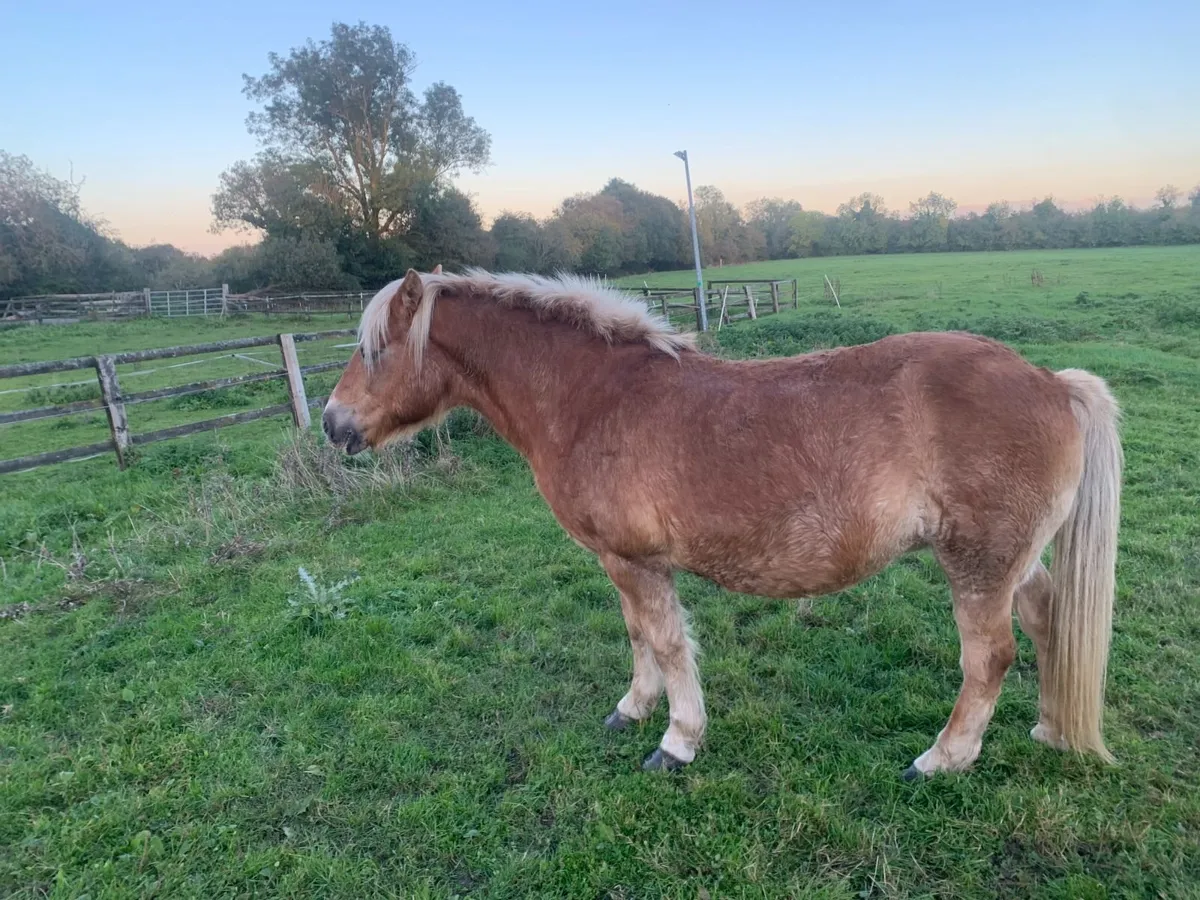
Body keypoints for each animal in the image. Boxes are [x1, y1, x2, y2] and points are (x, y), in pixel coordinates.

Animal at [323, 267, 1122, 779]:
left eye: (373, 350)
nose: (332, 424)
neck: (593, 397)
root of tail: (1053, 384)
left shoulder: (637, 561)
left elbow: (668, 644)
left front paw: (676, 742)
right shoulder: (621, 562)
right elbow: (638, 635)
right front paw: (632, 710)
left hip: (978, 566)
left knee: (989, 658)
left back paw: (942, 759)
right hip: (1012, 562)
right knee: (1048, 620)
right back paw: (1051, 728)